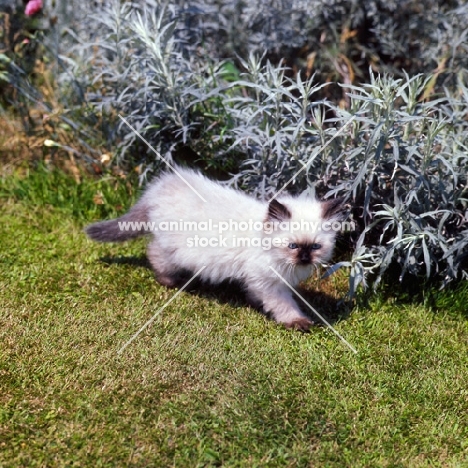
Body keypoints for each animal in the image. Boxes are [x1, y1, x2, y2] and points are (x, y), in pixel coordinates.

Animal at [86, 166, 346, 330]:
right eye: (292, 246)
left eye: (315, 246)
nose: (304, 257)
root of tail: (161, 186)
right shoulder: (270, 283)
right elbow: (285, 306)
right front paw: (297, 322)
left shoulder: (257, 280)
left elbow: (255, 293)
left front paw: (254, 302)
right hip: (176, 250)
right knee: (154, 253)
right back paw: (172, 282)